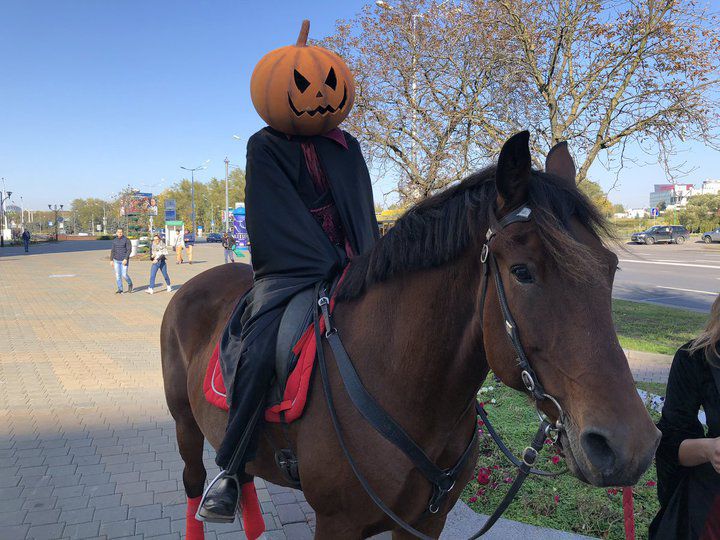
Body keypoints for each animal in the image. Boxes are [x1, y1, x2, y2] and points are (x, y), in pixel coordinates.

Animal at [160, 133, 660, 536]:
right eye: (522, 272)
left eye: (610, 269)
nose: (631, 445)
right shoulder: (337, 525)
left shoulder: (426, 523)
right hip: (185, 424)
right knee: (193, 482)